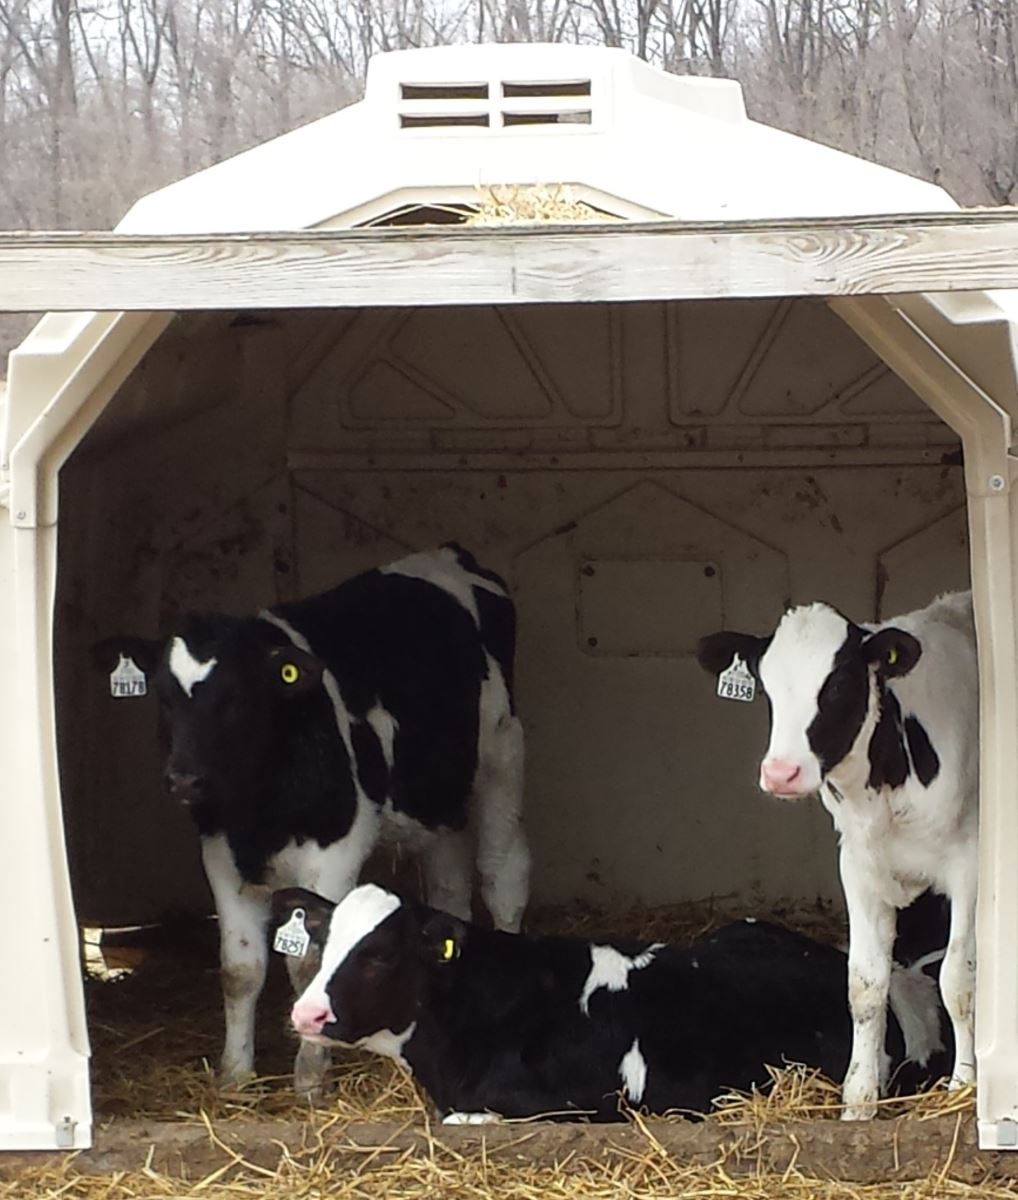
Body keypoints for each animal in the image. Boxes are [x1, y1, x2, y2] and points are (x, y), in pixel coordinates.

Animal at [94, 544, 528, 1100]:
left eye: (237, 698)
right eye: (165, 699)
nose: (184, 779)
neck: (259, 815)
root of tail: (451, 552)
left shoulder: (336, 852)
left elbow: (308, 962)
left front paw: (311, 1079)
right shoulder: (220, 855)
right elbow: (240, 969)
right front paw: (236, 1072)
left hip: (502, 756)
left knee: (502, 876)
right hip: (437, 797)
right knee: (450, 886)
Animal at [696, 590, 977, 1120]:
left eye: (840, 684)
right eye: (766, 687)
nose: (781, 773)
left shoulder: (970, 866)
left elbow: (960, 980)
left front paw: (964, 1088)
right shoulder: (860, 865)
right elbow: (864, 985)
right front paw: (858, 1104)